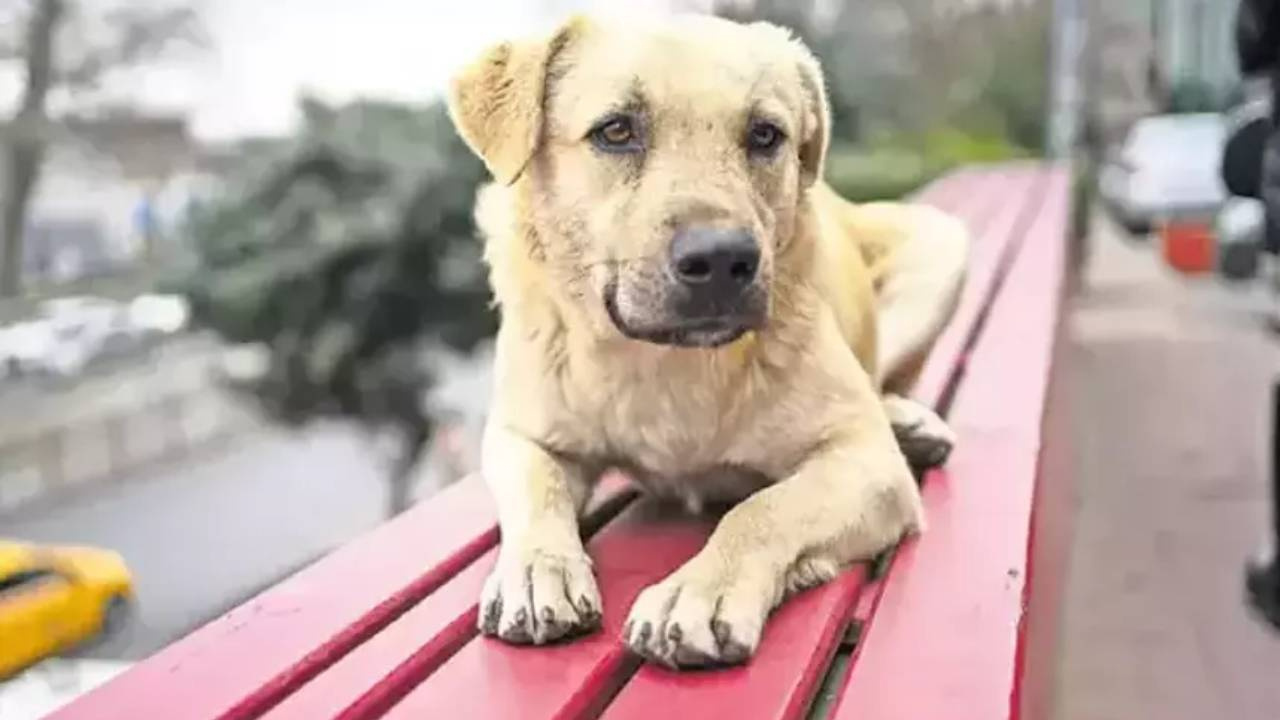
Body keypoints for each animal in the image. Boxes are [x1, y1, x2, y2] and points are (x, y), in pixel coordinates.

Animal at [445, 12, 962, 666]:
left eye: (765, 135)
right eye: (616, 130)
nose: (721, 260)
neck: (667, 361)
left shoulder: (869, 465)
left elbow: (762, 509)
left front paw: (699, 590)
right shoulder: (523, 436)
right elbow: (539, 491)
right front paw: (539, 568)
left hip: (940, 245)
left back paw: (908, 422)